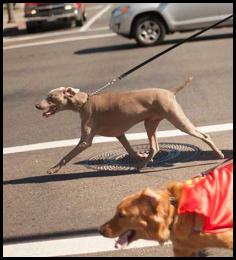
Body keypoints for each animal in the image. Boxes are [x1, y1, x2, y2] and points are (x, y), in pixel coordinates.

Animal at [34, 77, 223, 175]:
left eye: (51, 97)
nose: (36, 105)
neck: (84, 102)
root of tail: (170, 92)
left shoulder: (85, 141)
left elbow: (67, 155)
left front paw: (54, 169)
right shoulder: (120, 134)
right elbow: (130, 150)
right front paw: (139, 156)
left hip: (178, 120)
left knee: (204, 136)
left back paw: (219, 154)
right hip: (150, 123)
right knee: (154, 147)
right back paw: (141, 165)